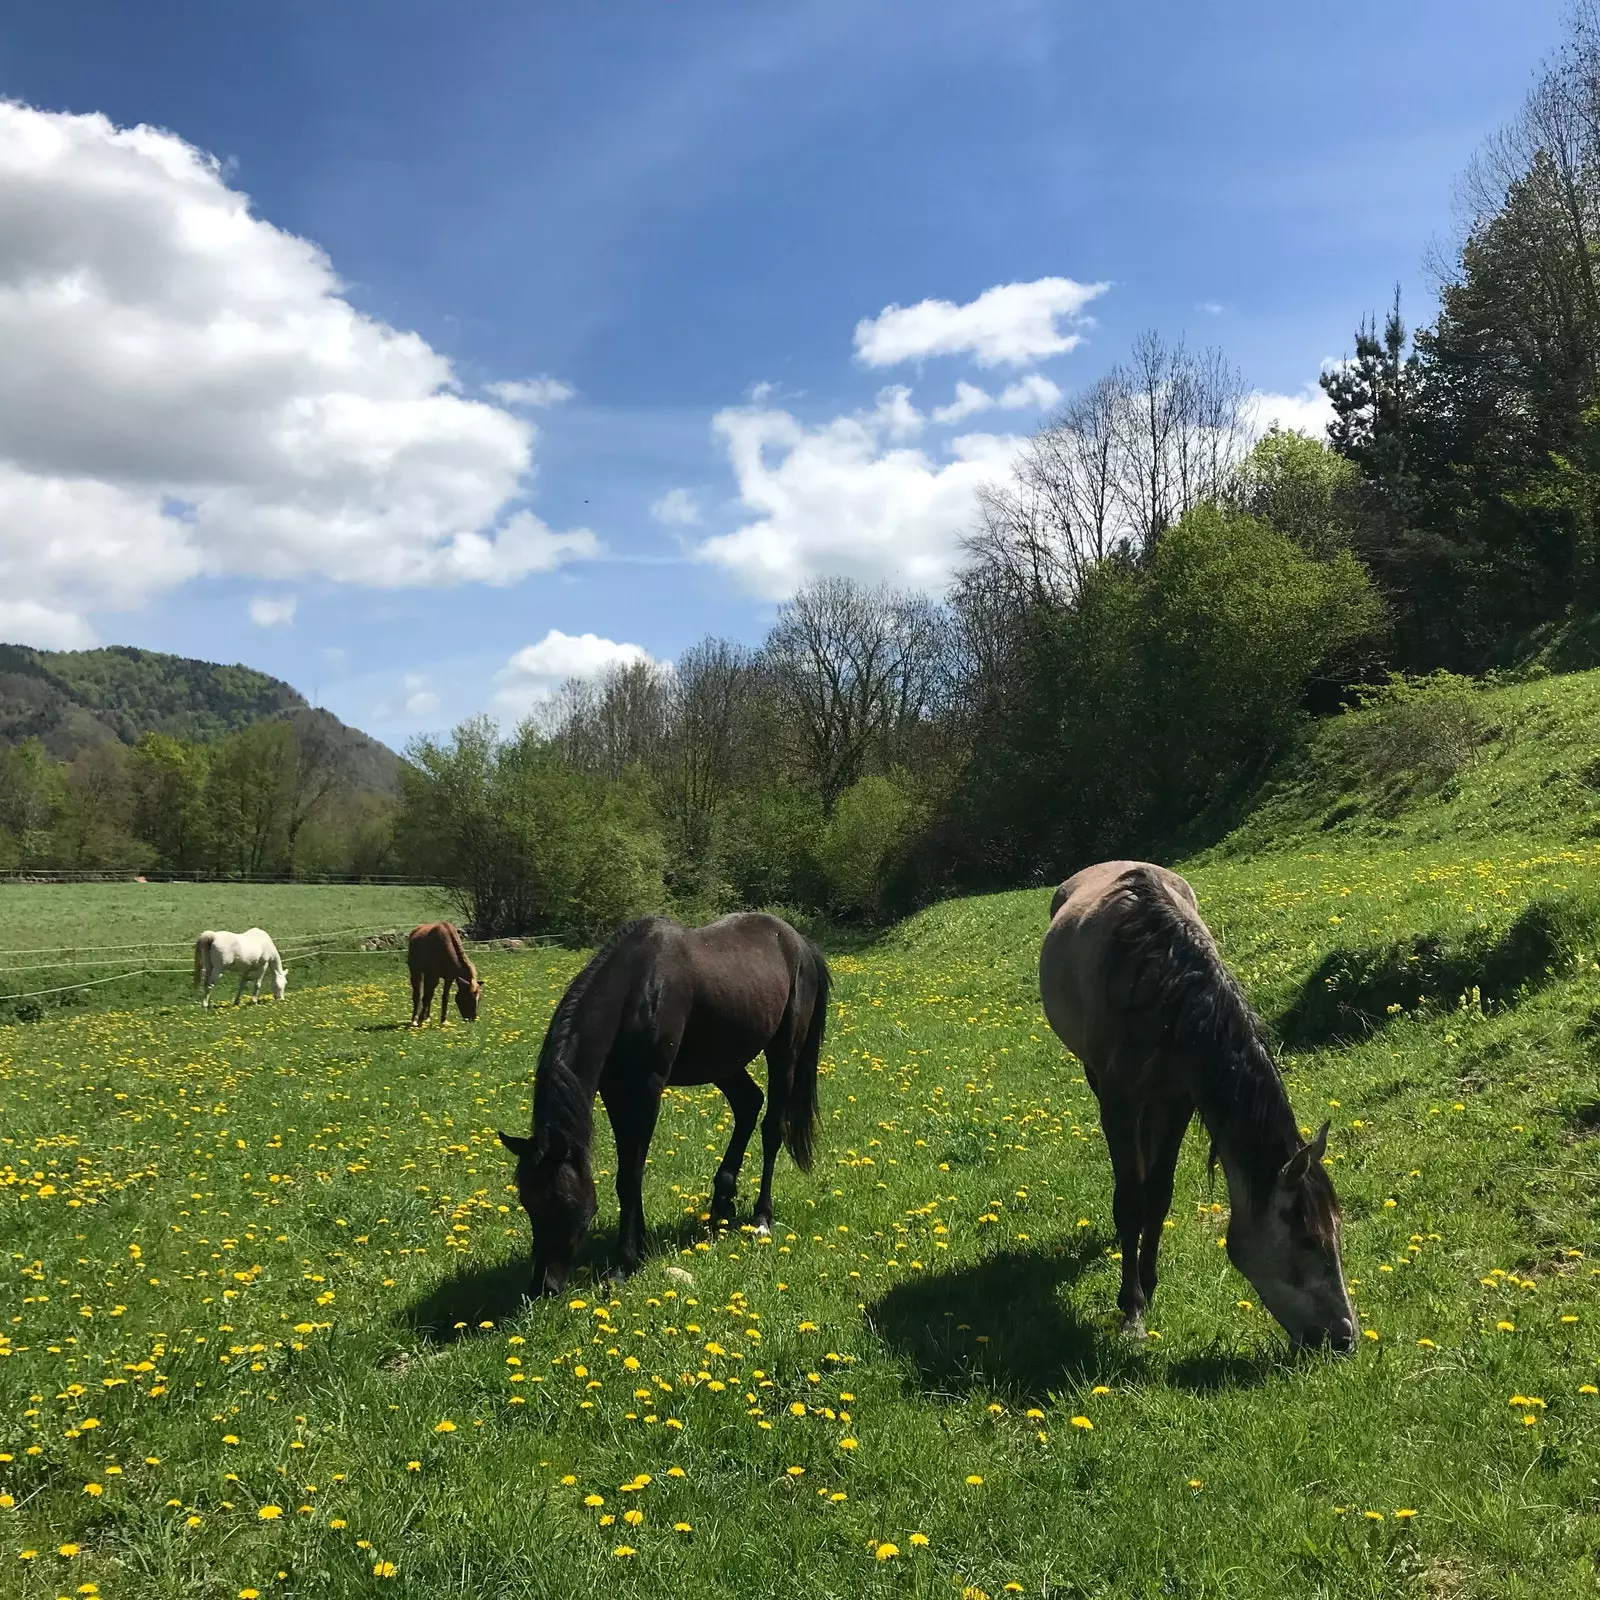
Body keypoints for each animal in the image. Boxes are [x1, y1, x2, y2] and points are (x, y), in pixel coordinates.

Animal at [499, 908, 832, 1292]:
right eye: (527, 1201)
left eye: (562, 1201)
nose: (544, 1285)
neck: (636, 991)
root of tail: (800, 943)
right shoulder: (616, 1091)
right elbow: (629, 1172)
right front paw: (638, 1246)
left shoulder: (647, 1089)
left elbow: (630, 1175)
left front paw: (624, 1263)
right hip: (723, 1062)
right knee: (748, 1104)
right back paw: (722, 1202)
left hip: (784, 1054)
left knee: (771, 1129)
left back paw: (762, 1217)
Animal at [1036, 864, 1363, 1350]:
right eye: (1307, 1239)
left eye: (1338, 1232)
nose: (1344, 1336)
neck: (1164, 987)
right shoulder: (1119, 1100)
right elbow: (1130, 1199)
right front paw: (1132, 1308)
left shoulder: (1178, 1100)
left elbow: (1158, 1193)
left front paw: (1148, 1283)